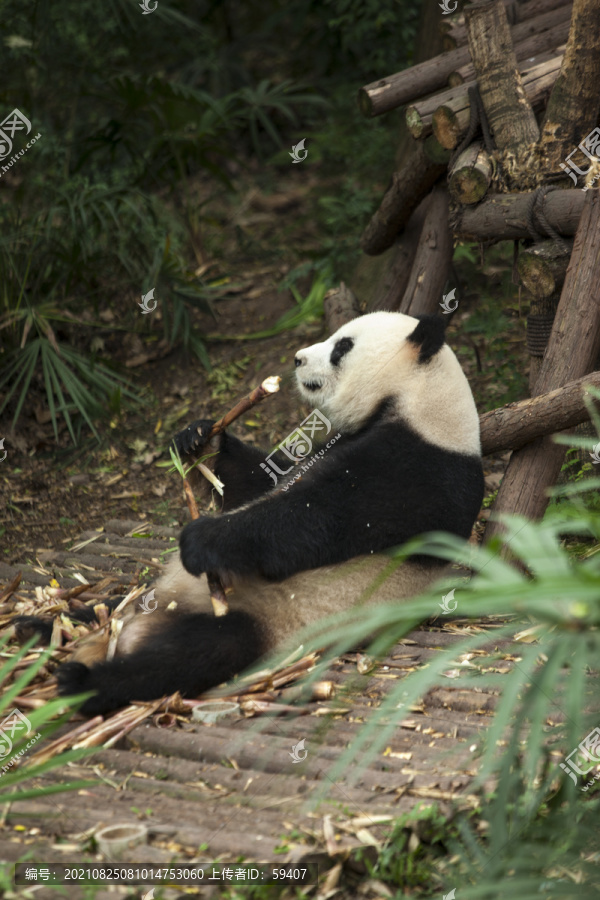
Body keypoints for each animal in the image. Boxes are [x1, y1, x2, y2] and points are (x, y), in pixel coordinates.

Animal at [50, 312, 482, 712]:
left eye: (342, 347)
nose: (297, 358)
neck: (421, 402)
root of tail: (139, 625)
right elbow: (262, 483)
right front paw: (200, 439)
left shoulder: (417, 471)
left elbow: (313, 523)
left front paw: (201, 541)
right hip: (139, 599)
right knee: (91, 611)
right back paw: (47, 630)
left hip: (264, 621)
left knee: (192, 655)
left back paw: (84, 682)